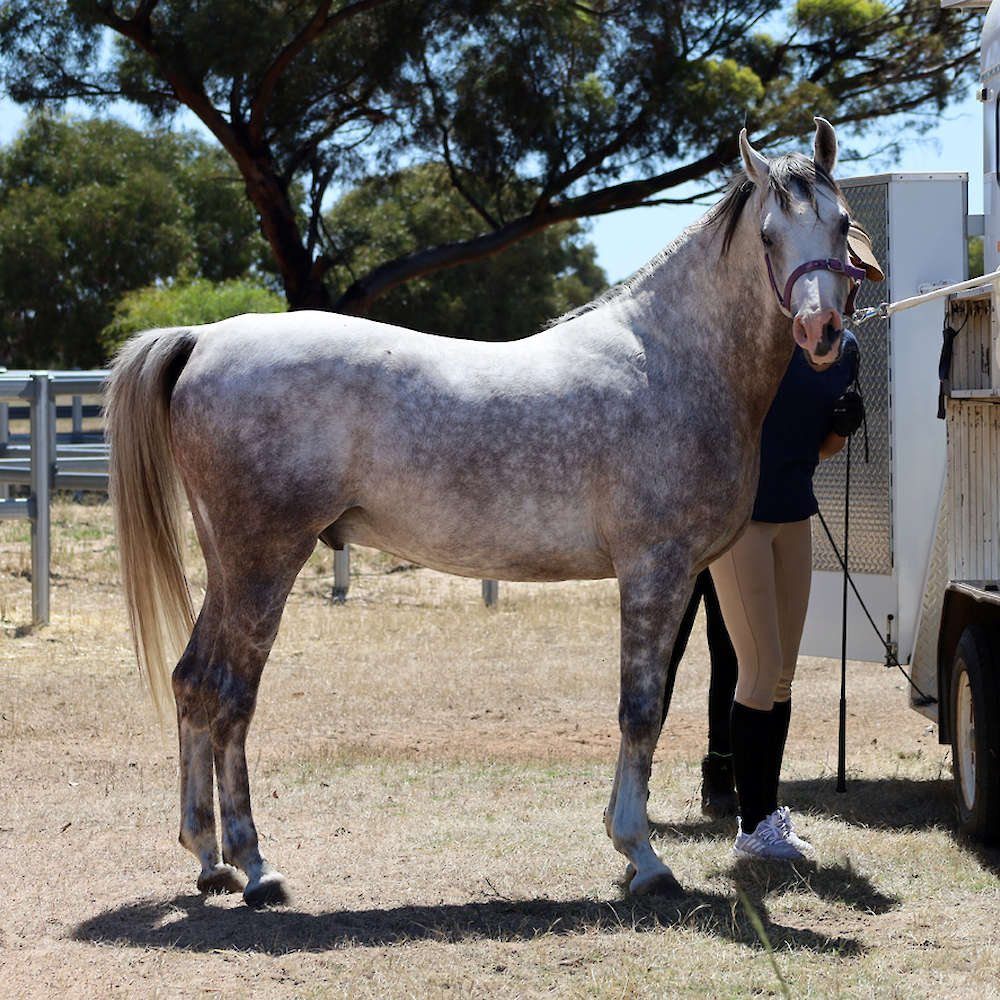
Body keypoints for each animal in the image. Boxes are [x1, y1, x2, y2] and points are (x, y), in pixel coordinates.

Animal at [106, 118, 863, 907]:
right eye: (770, 234)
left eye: (841, 223)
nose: (822, 331)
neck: (672, 359)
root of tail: (204, 338)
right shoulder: (657, 570)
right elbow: (641, 709)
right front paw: (643, 857)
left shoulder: (680, 575)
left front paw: (632, 851)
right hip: (264, 562)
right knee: (230, 695)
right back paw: (255, 865)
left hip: (227, 566)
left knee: (193, 682)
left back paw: (208, 857)